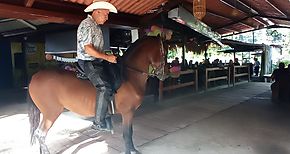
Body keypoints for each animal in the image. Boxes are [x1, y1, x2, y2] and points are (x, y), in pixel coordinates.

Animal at [28, 35, 167, 153]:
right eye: (163, 51)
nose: (163, 74)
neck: (128, 75)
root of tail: (34, 77)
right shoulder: (127, 112)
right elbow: (127, 134)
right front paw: (129, 150)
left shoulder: (129, 113)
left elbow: (130, 132)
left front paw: (133, 149)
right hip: (51, 113)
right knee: (40, 134)